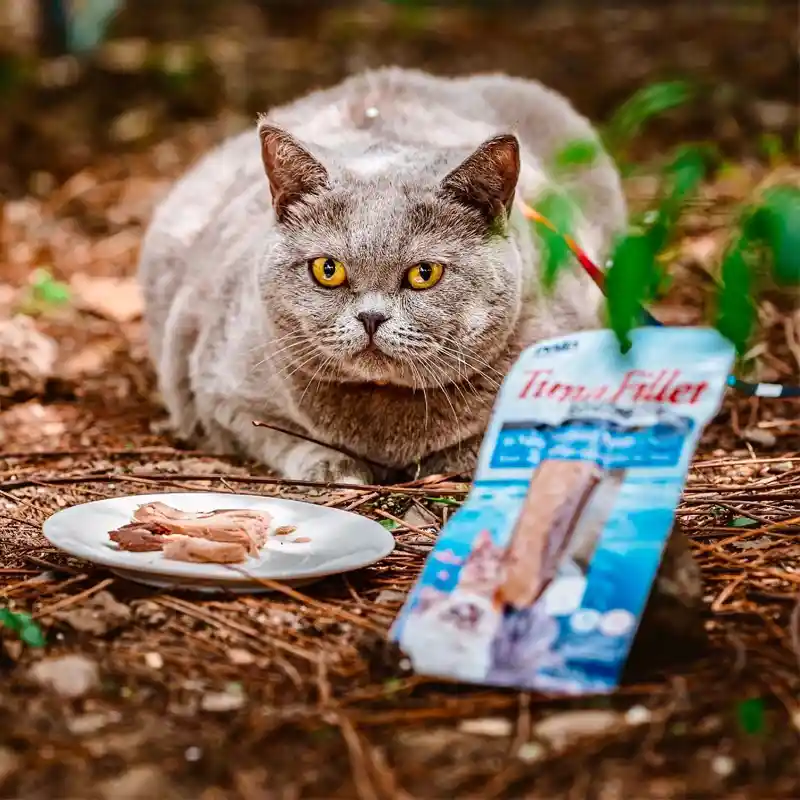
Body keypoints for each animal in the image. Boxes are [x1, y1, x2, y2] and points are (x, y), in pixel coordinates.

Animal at [136, 67, 624, 482]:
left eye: (424, 273)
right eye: (327, 270)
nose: (371, 317)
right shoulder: (215, 389)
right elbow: (274, 435)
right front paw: (335, 467)